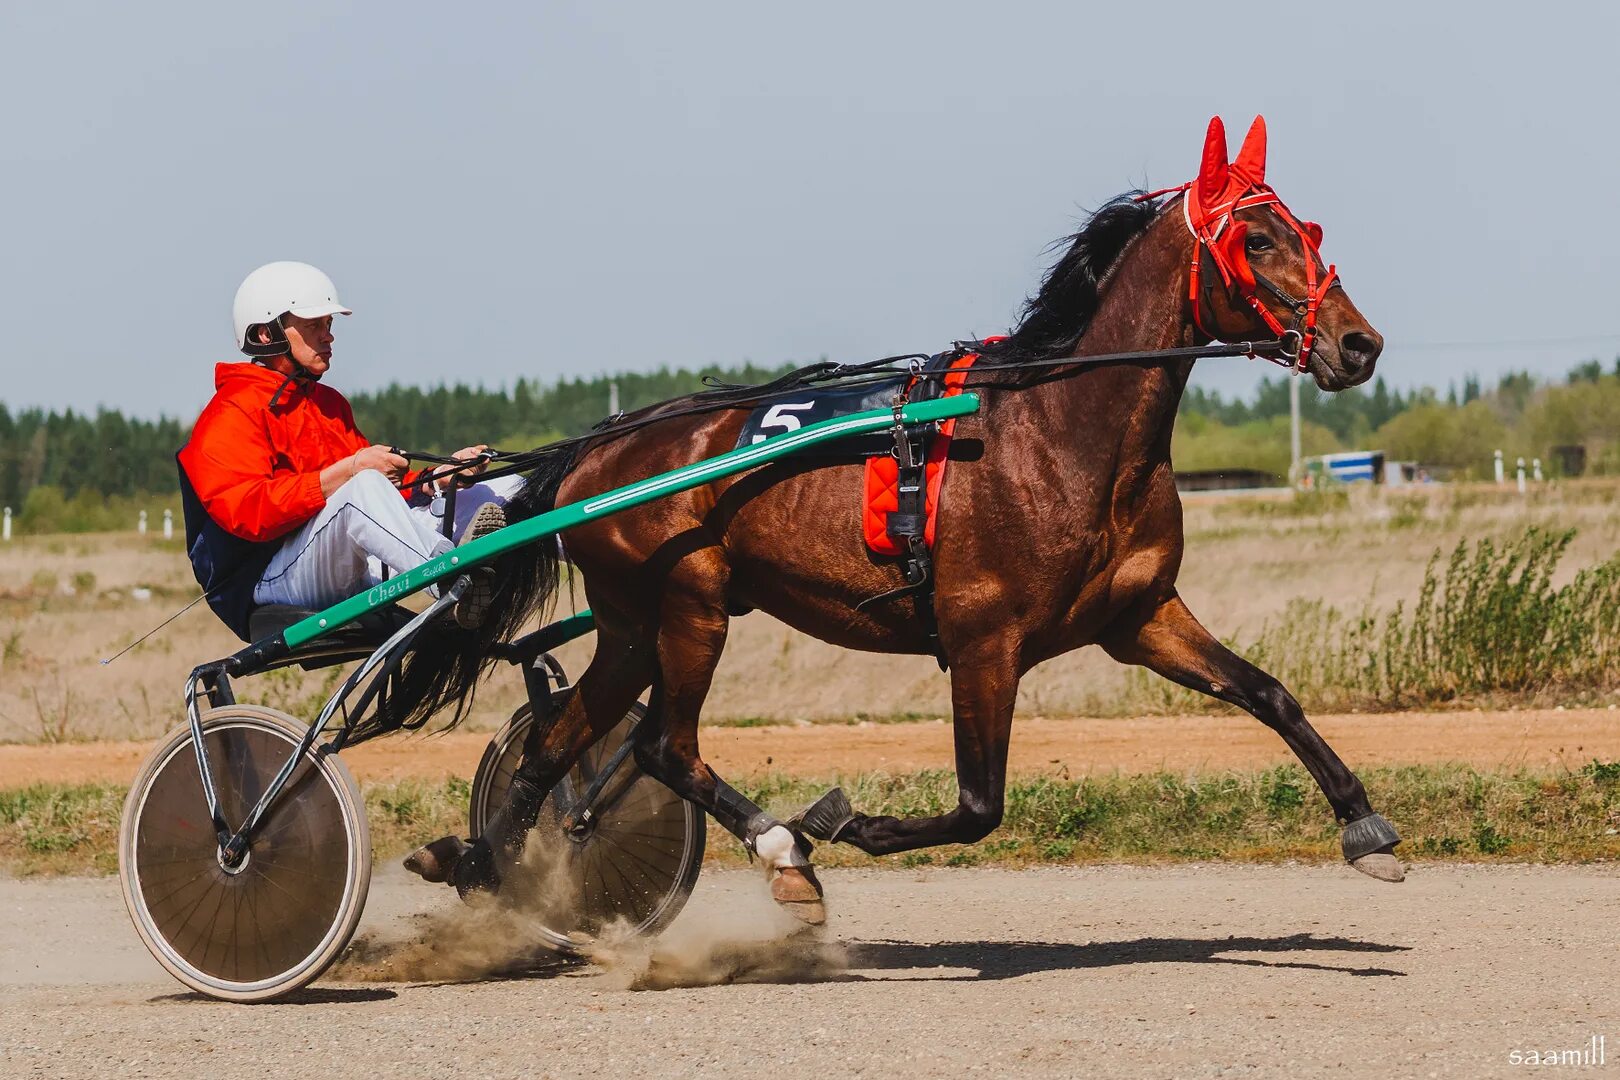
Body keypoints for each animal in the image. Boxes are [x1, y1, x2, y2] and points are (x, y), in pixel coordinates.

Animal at [401, 118, 1393, 926]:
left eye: (1309, 233)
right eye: (1256, 237)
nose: (1360, 344)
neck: (1060, 431)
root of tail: (595, 450)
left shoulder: (1141, 615)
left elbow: (1269, 693)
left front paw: (1364, 825)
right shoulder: (985, 638)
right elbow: (980, 805)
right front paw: (847, 821)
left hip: (633, 624)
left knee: (563, 740)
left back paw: (491, 864)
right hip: (691, 603)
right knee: (660, 745)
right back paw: (782, 851)